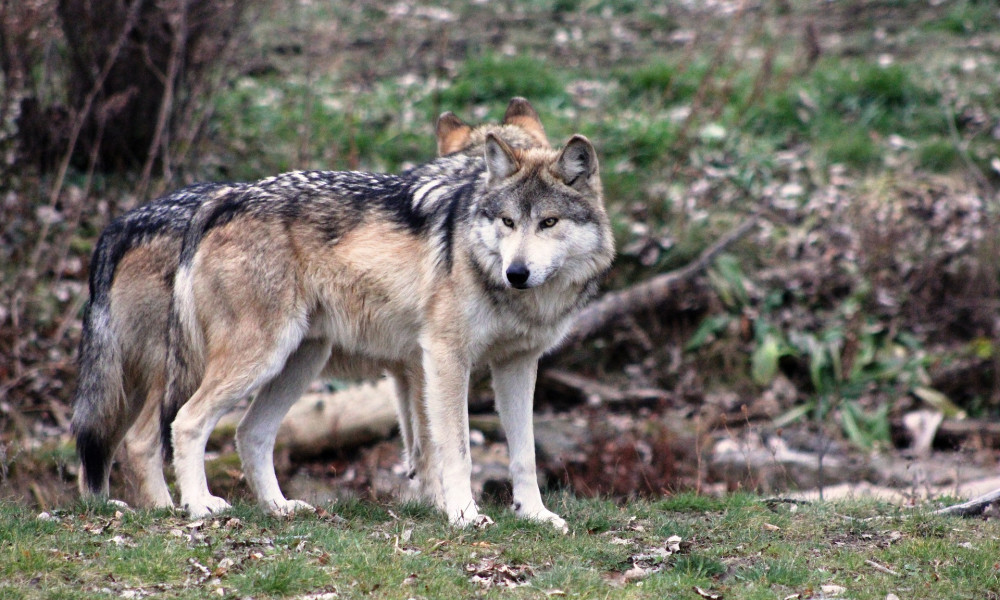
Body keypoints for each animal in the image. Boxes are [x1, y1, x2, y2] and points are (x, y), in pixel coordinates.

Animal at [71, 97, 552, 506]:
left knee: (114, 446)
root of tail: (123, 223)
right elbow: (438, 444)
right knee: (146, 439)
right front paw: (445, 505)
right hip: (205, 365)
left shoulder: (409, 368)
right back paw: (178, 507)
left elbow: (420, 444)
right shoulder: (432, 361)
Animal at [162, 113, 616, 528]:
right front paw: (464, 515)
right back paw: (199, 506)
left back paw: (279, 508)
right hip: (262, 358)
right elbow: (456, 450)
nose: (516, 273)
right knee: (187, 422)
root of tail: (224, 198)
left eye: (548, 222)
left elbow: (525, 453)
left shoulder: (517, 364)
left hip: (299, 363)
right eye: (508, 222)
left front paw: (535, 514)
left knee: (250, 434)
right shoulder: (445, 357)